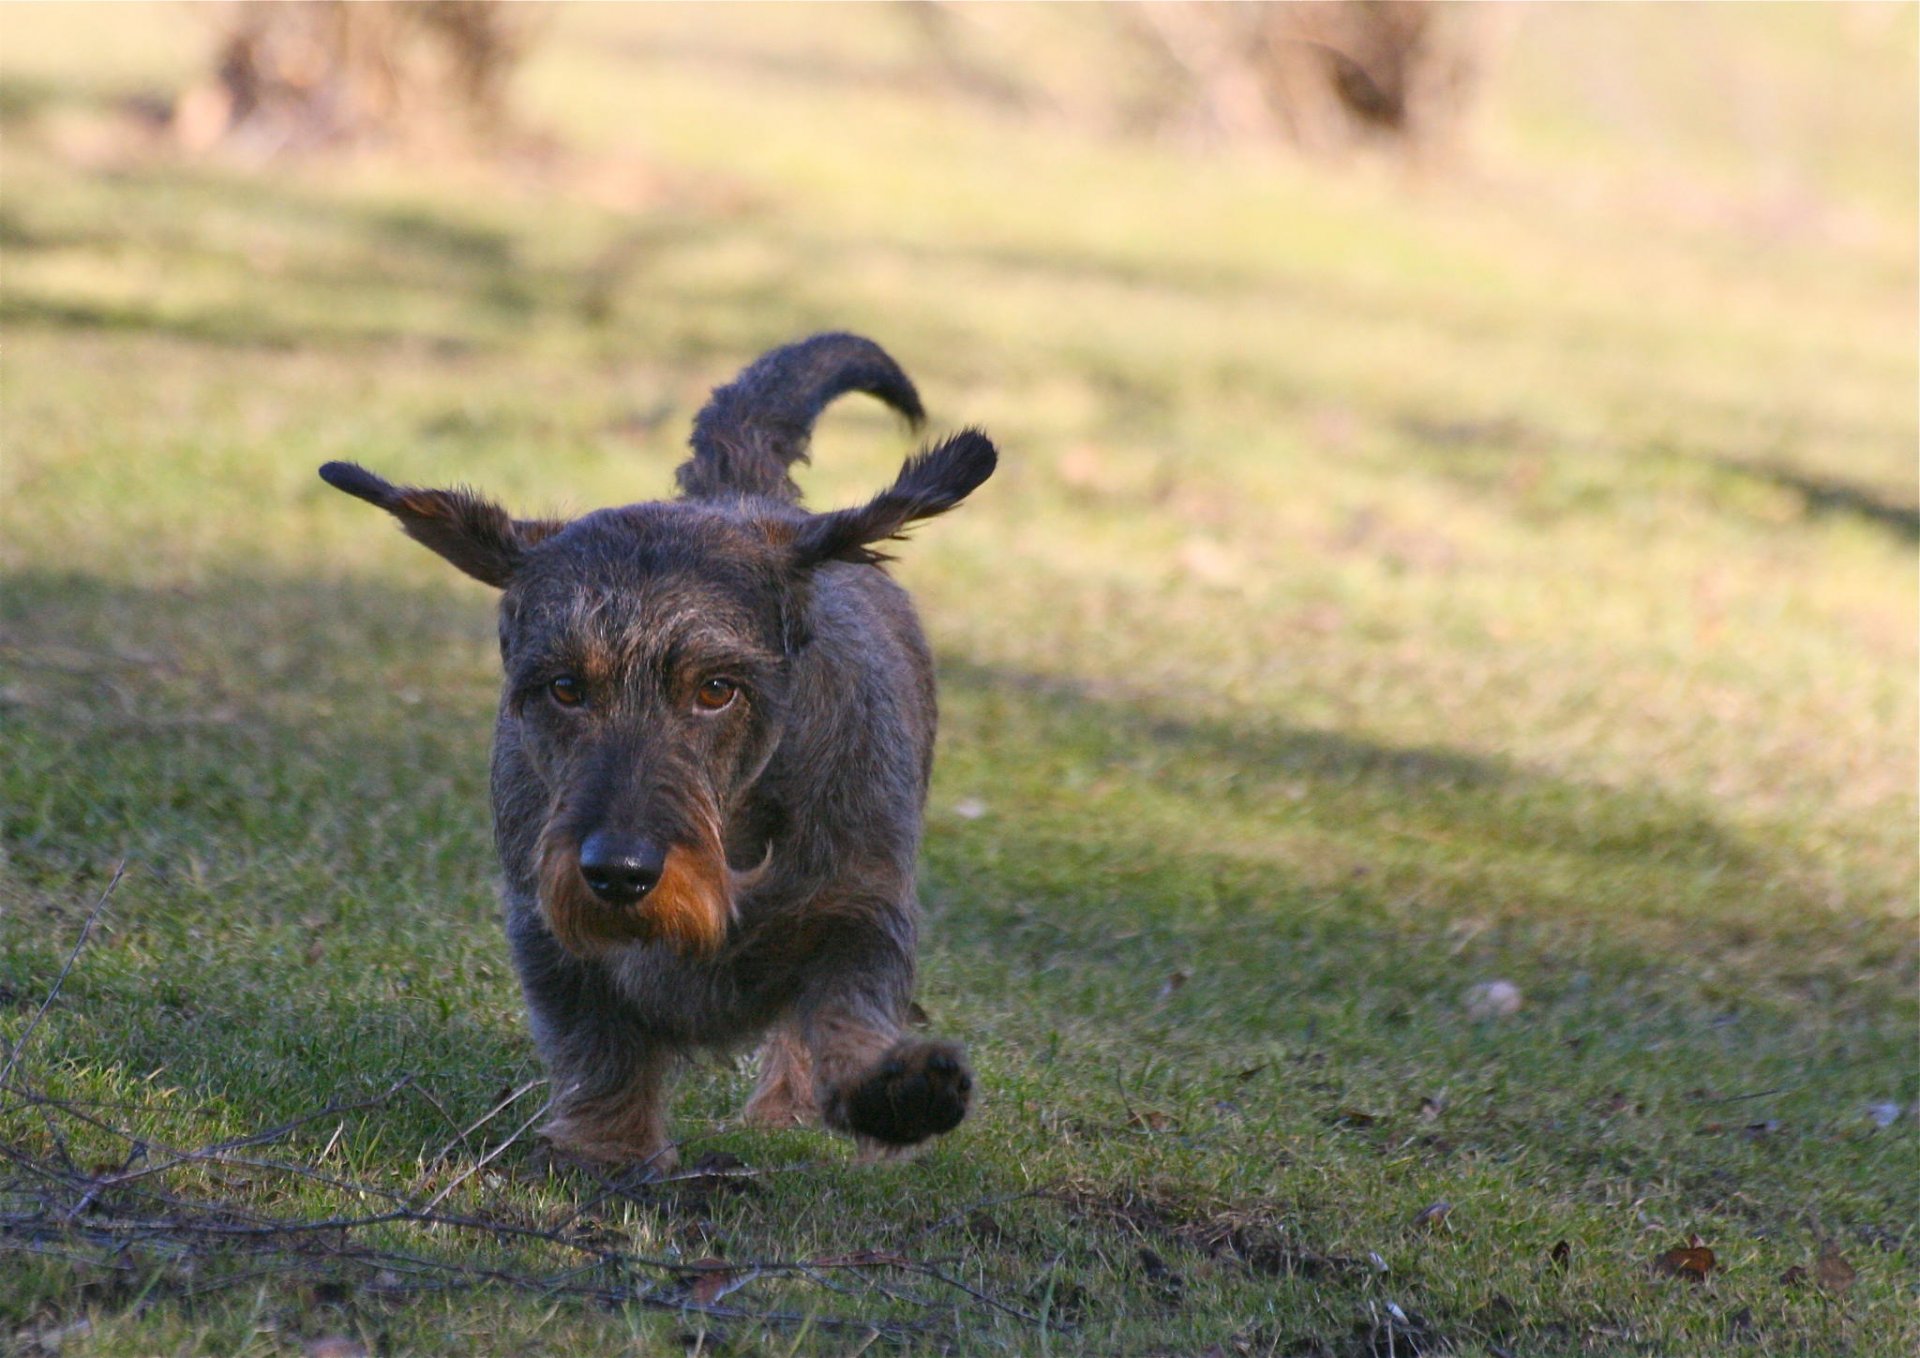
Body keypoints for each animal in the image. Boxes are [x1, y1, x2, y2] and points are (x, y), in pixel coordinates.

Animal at [316, 338, 998, 1167]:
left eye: (717, 689)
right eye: (565, 686)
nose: (619, 873)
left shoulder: (860, 902)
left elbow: (844, 1006)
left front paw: (893, 1088)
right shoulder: (546, 930)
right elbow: (601, 1047)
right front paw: (609, 1150)